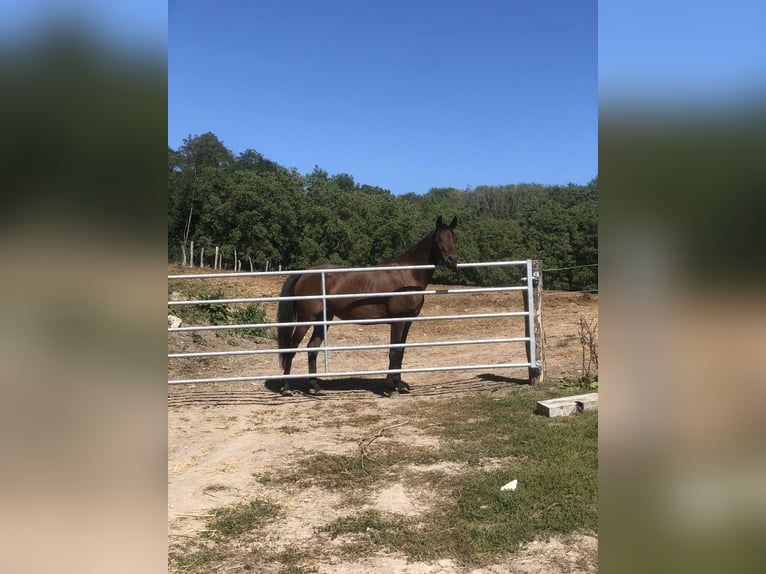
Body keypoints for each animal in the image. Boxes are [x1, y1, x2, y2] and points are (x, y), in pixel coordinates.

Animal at [276, 215, 460, 396]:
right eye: (439, 239)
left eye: (454, 238)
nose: (453, 260)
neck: (408, 274)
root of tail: (303, 274)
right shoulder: (398, 320)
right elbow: (394, 351)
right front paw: (390, 387)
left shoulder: (408, 320)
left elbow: (401, 351)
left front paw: (399, 384)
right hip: (306, 319)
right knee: (291, 347)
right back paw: (286, 388)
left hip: (323, 319)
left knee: (312, 348)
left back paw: (315, 386)